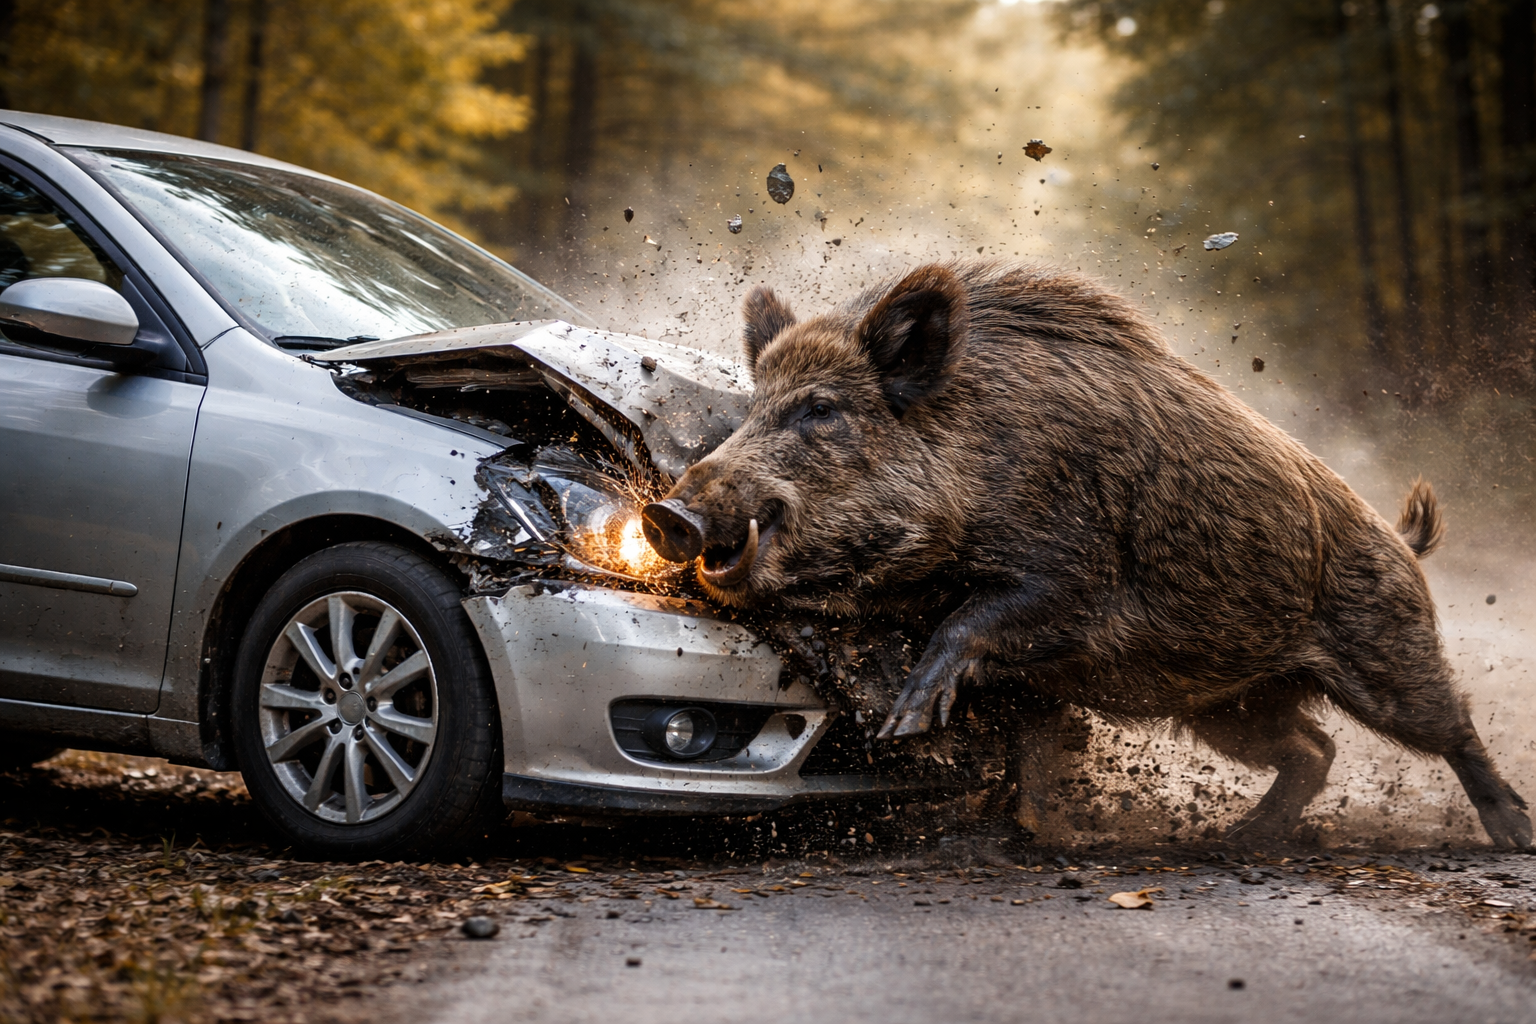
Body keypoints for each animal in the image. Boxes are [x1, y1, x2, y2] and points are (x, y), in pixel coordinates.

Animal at [640, 262, 1531, 848]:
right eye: (755, 406)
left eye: (821, 410)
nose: (667, 512)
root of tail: (1400, 538)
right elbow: (1027, 738)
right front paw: (1028, 830)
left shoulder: (1071, 579)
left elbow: (971, 626)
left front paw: (908, 720)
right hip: (1229, 701)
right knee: (1315, 750)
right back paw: (1236, 842)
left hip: (1384, 646)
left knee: (1449, 725)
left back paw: (1510, 834)